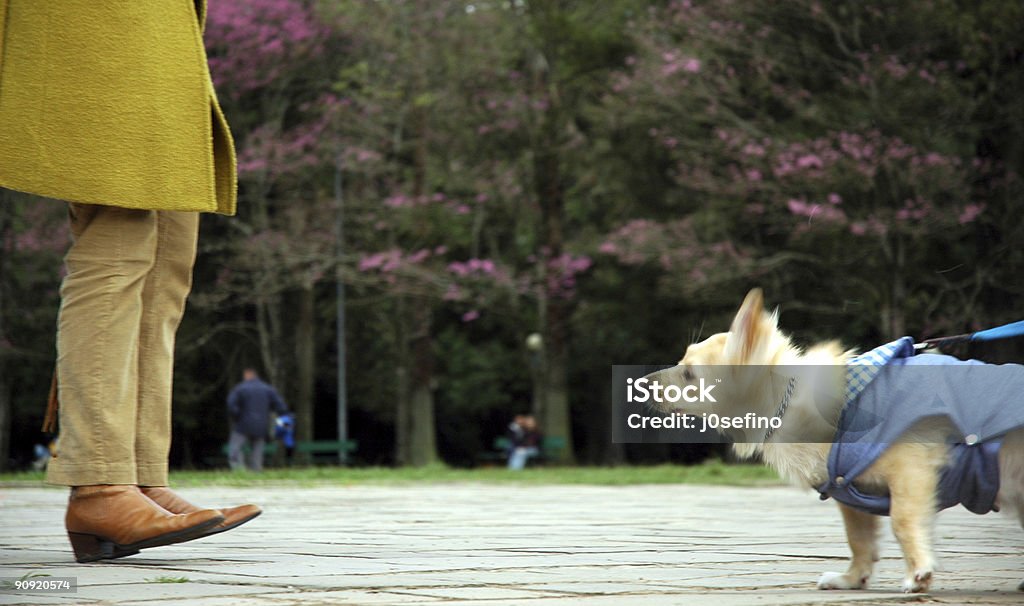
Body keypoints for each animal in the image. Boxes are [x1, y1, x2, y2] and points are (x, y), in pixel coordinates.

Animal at [647, 288, 1024, 593]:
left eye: (689, 374)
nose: (643, 380)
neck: (785, 400)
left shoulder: (910, 471)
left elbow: (903, 521)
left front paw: (918, 573)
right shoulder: (849, 491)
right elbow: (858, 539)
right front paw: (852, 579)